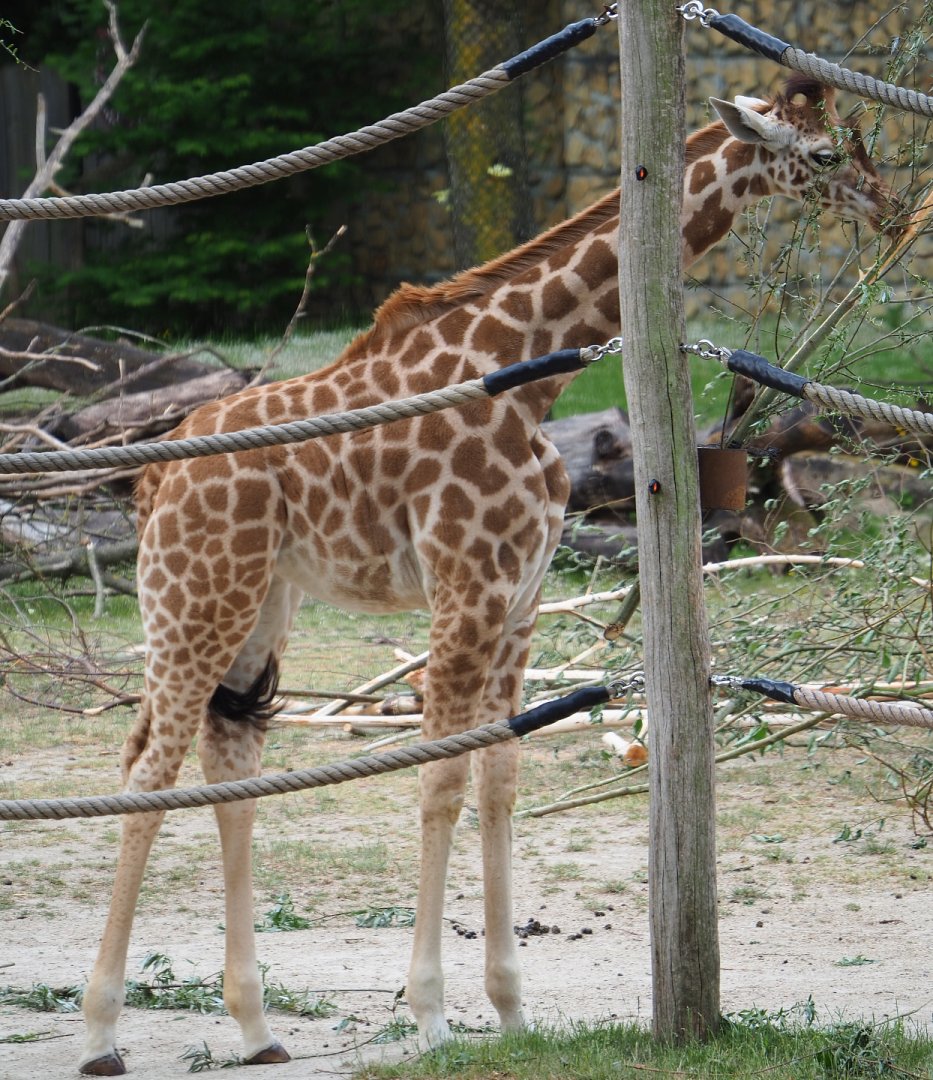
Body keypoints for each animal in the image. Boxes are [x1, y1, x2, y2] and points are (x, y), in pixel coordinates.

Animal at [77, 76, 899, 1075]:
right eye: (822, 155)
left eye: (857, 140)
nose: (891, 208)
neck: (524, 376)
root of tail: (154, 474)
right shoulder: (465, 585)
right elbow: (440, 780)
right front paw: (431, 1014)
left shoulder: (521, 598)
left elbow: (499, 775)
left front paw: (511, 1010)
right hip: (197, 593)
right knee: (147, 767)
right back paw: (100, 1031)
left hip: (259, 601)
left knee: (227, 756)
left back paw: (257, 1027)